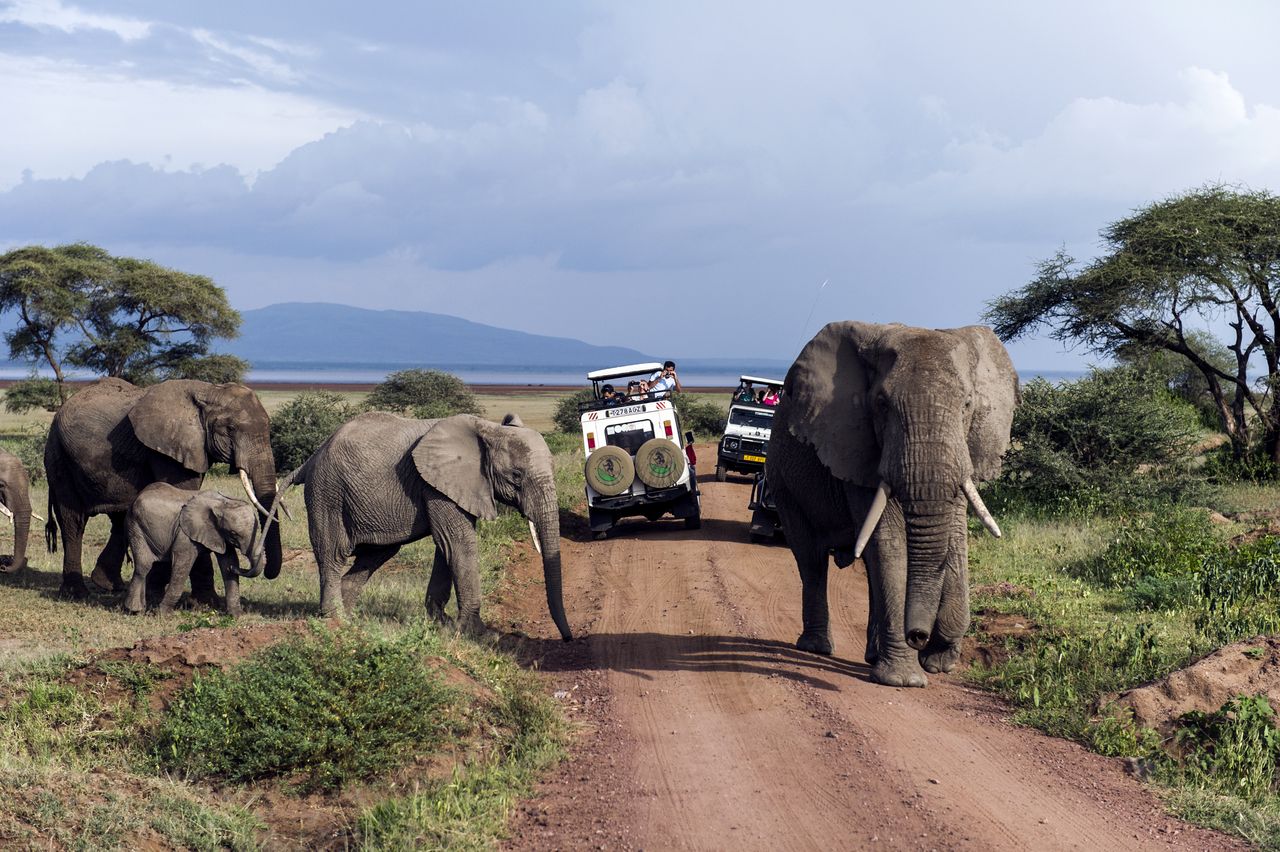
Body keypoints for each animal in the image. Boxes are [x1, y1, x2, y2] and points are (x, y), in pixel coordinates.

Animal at [45, 378, 282, 596]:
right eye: (231, 429)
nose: (240, 568)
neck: (209, 390)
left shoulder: (193, 448)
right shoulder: (167, 449)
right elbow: (187, 496)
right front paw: (205, 601)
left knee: (120, 519)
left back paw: (110, 585)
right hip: (59, 456)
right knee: (73, 521)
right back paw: (76, 592)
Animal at [126, 481, 266, 614]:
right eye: (234, 533)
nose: (237, 569)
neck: (221, 503)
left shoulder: (219, 533)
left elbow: (228, 560)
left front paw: (237, 615)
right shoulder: (184, 533)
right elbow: (183, 564)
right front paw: (163, 614)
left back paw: (141, 610)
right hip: (136, 527)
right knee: (143, 566)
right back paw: (135, 610)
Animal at [264, 409, 570, 637]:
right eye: (517, 476)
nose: (567, 637)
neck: (489, 430)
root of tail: (312, 457)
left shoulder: (450, 485)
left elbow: (446, 547)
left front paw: (440, 623)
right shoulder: (435, 485)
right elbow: (458, 543)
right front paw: (476, 634)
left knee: (376, 555)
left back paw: (350, 618)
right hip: (327, 492)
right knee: (333, 554)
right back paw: (336, 620)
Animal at [762, 322, 1013, 685]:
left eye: (967, 404)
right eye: (881, 403)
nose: (918, 636)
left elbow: (954, 535)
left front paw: (939, 661)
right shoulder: (857, 448)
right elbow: (890, 541)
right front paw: (904, 680)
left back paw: (871, 654)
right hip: (782, 479)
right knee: (810, 558)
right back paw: (816, 648)